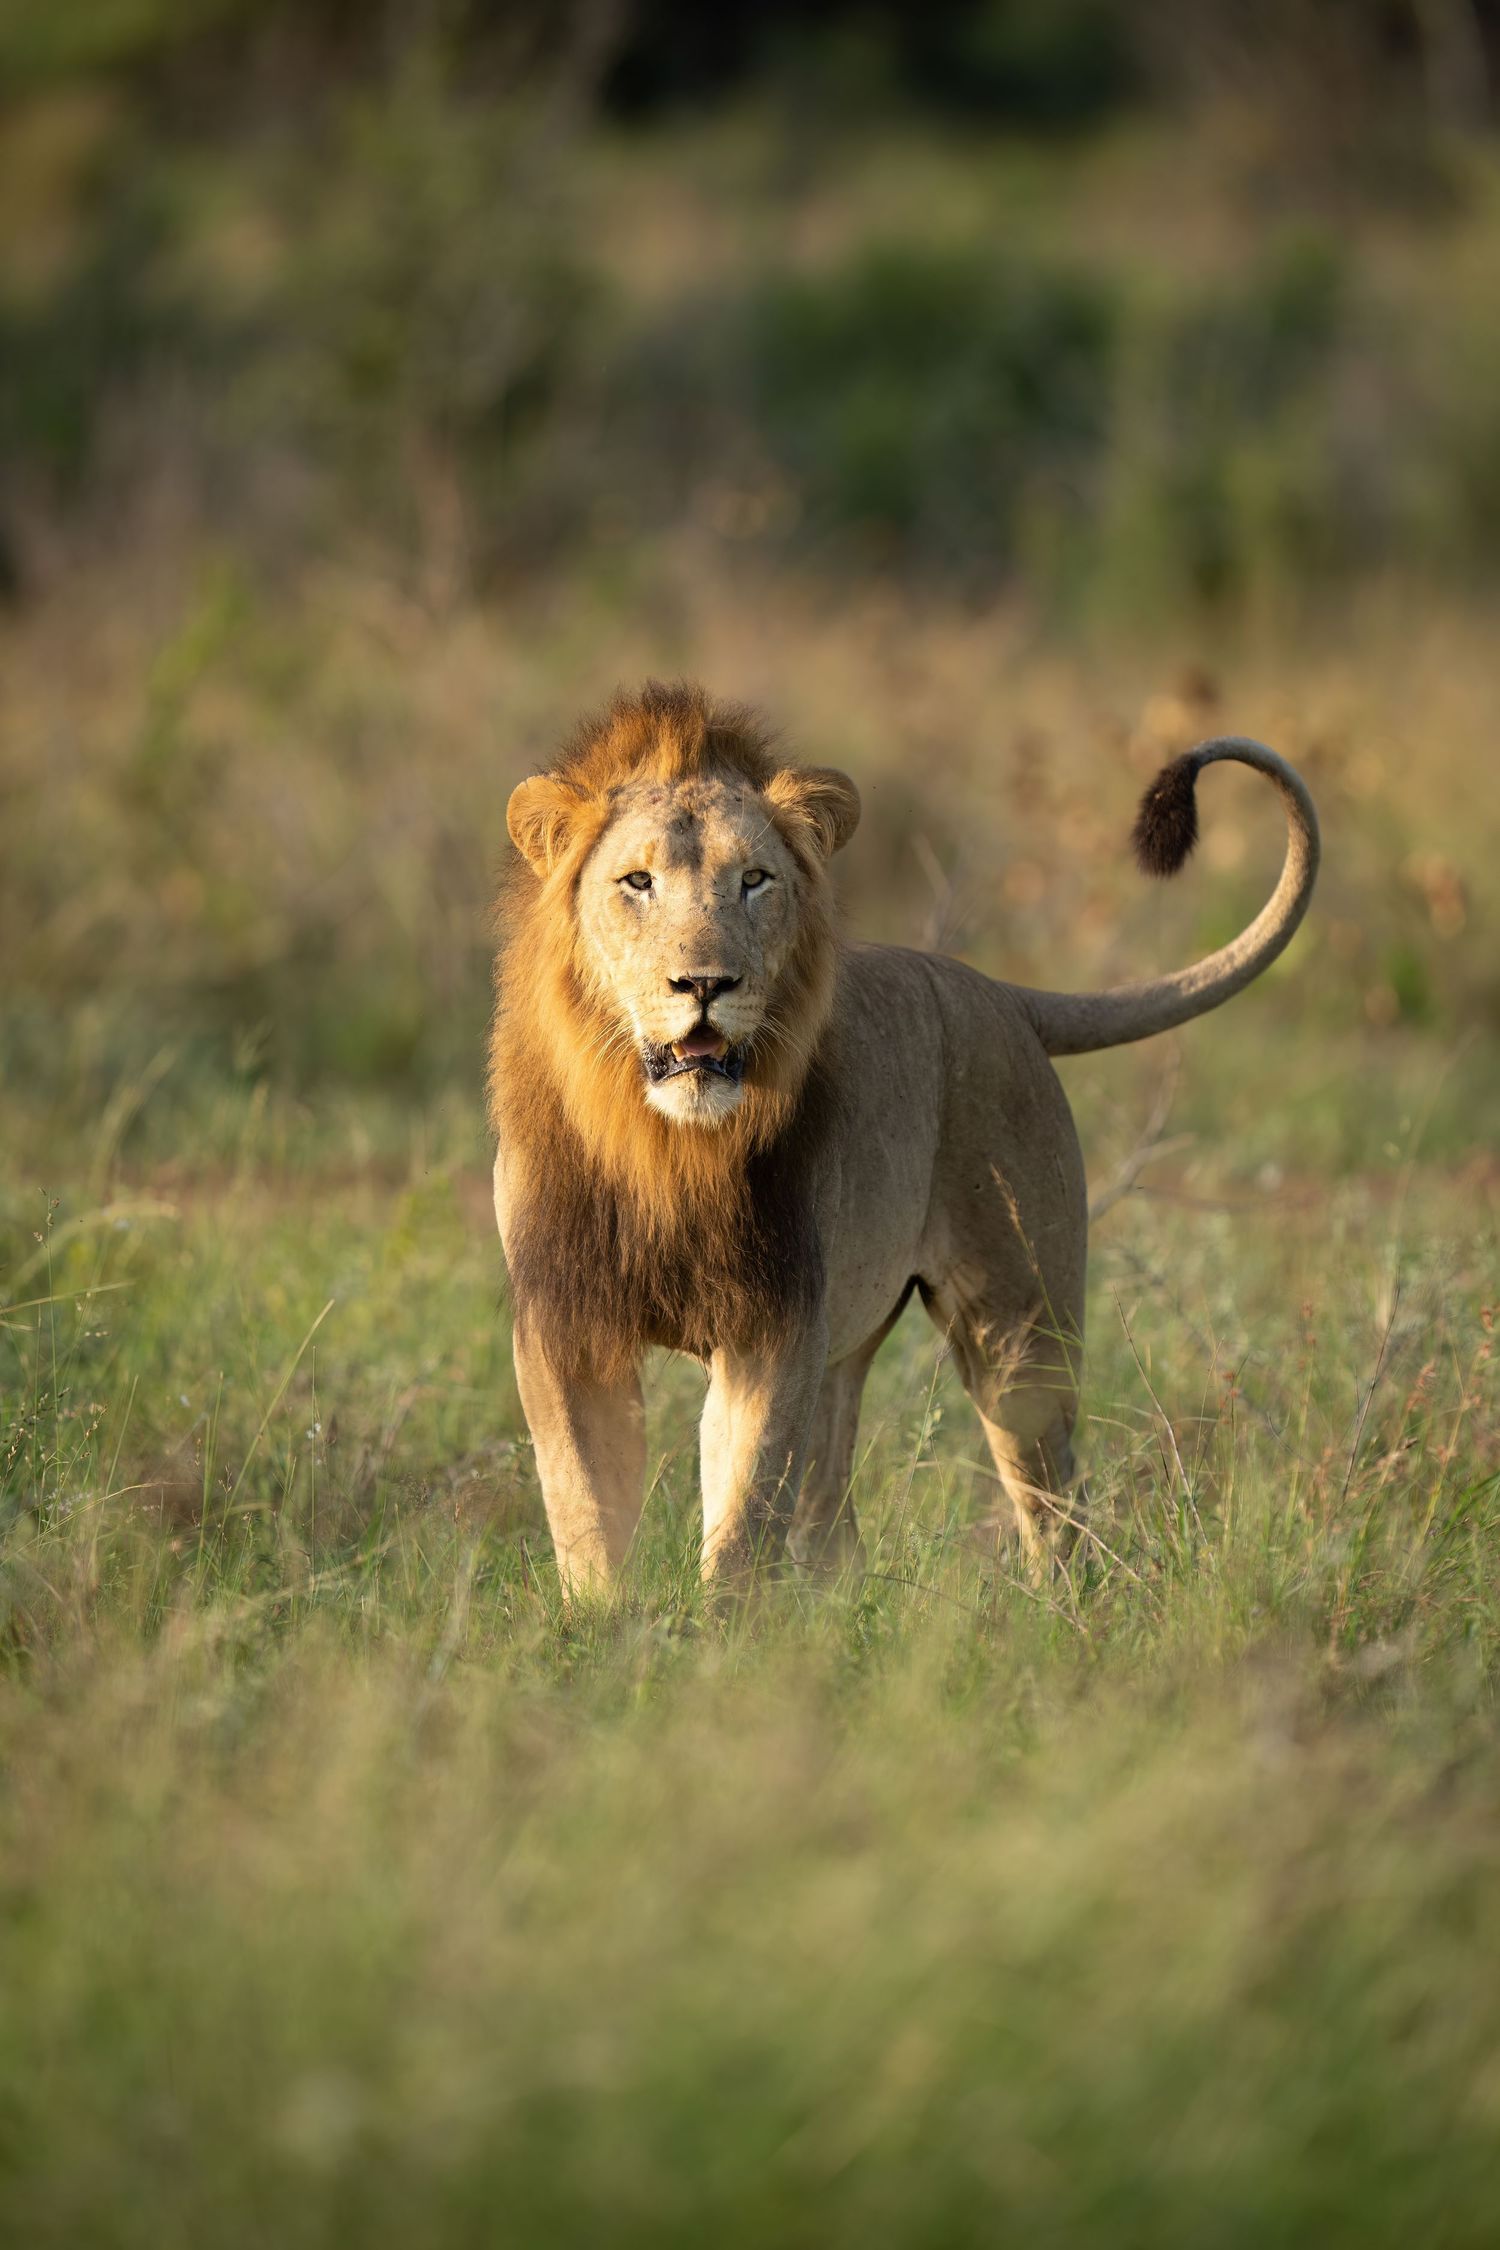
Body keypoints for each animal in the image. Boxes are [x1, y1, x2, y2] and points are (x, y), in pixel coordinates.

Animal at [489, 679, 1319, 1595]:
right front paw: (606, 1622)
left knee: (1052, 1500)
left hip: (1017, 1329)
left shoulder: (775, 1326)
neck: (663, 1144)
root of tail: (996, 990)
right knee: (829, 1517)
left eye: (754, 881)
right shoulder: (564, 1323)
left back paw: (1053, 1609)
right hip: (851, 1344)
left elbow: (741, 1514)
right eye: (636, 881)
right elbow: (586, 1510)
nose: (705, 983)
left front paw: (710, 1626)